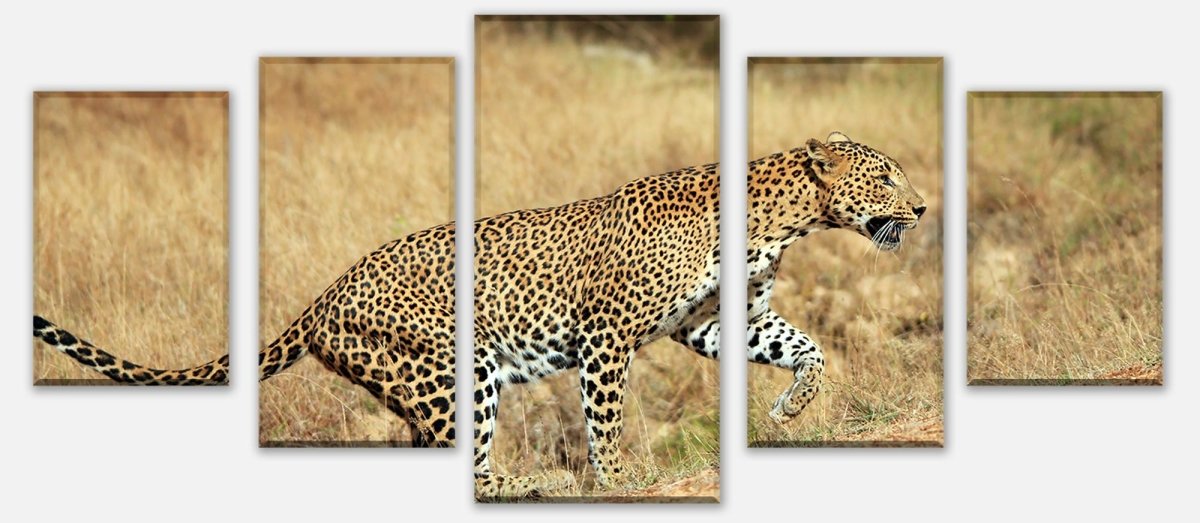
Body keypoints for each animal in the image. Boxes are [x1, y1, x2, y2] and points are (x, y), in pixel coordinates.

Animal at [32, 130, 925, 500]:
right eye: (884, 175)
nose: (921, 207)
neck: (782, 222)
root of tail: (326, 290)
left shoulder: (710, 321)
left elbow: (805, 346)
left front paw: (792, 405)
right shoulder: (608, 333)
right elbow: (605, 418)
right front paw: (618, 480)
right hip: (455, 369)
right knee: (468, 461)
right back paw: (530, 479)